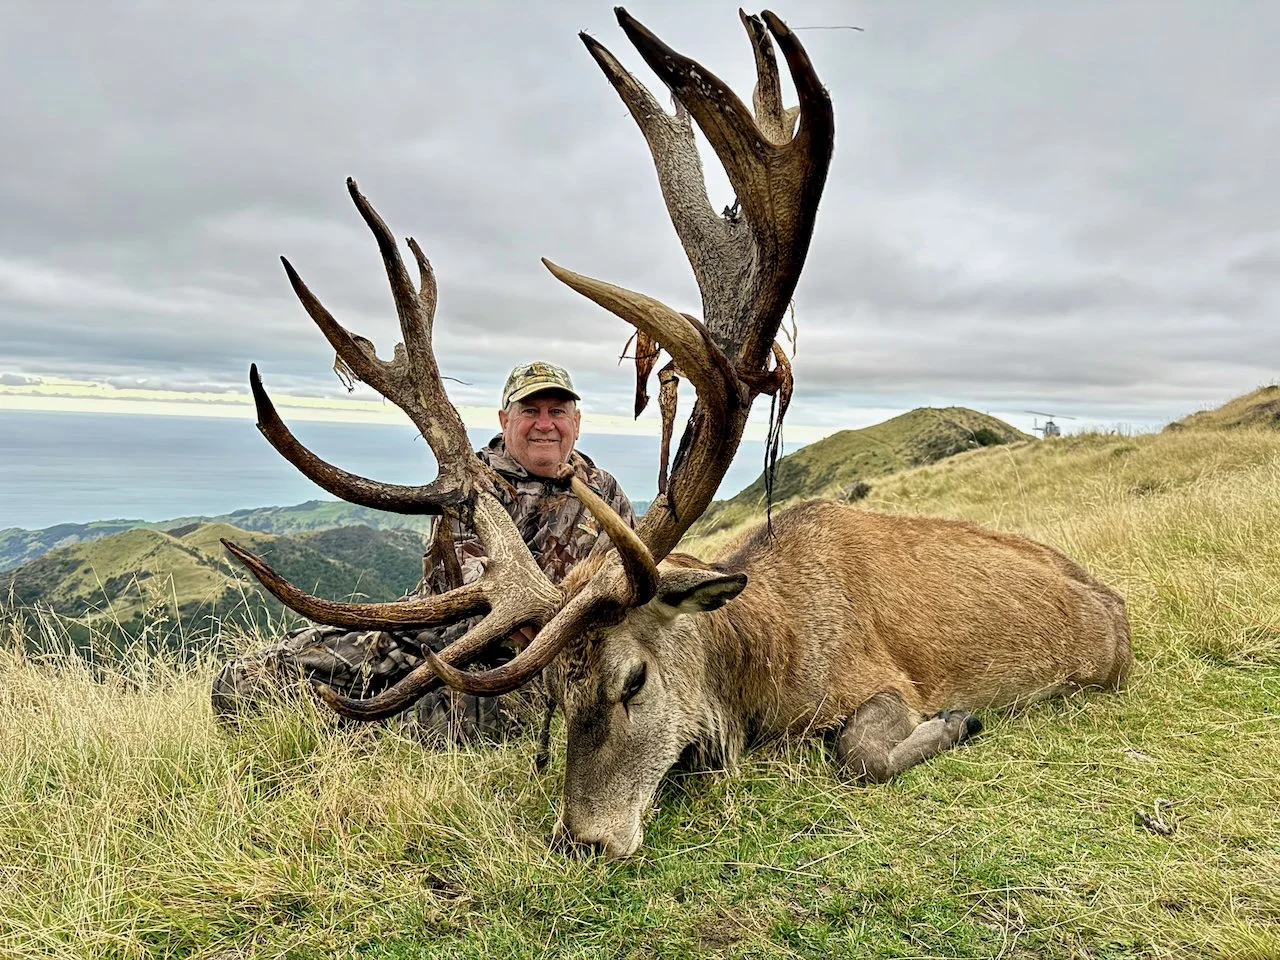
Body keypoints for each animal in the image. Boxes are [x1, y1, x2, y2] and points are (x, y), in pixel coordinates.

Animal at [222, 8, 1131, 859]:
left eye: (632, 681)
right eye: (557, 696)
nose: (581, 840)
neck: (765, 661)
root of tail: (1116, 603)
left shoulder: (881, 681)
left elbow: (860, 753)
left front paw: (958, 722)